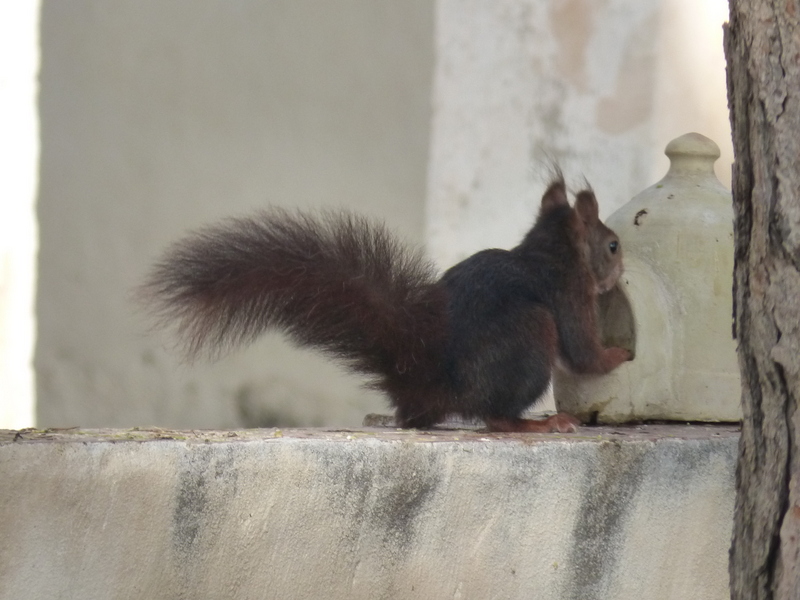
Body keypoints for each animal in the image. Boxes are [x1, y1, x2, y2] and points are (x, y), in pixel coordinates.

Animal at [142, 176, 632, 434]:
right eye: (612, 245)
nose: (620, 269)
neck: (547, 253)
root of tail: (428, 385)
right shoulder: (567, 294)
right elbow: (584, 355)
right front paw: (619, 355)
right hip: (532, 332)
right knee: (495, 417)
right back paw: (537, 423)